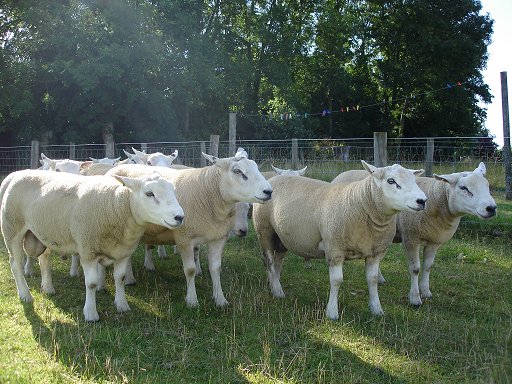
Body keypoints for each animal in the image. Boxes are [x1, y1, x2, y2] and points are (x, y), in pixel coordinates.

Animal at [0, 170, 184, 322]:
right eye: (149, 193)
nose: (180, 217)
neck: (118, 206)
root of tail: (13, 175)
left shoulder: (123, 252)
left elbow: (120, 278)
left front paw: (122, 305)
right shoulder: (88, 250)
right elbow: (92, 284)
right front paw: (90, 313)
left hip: (45, 233)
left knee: (44, 259)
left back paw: (48, 288)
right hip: (12, 229)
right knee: (15, 264)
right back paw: (25, 295)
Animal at [106, 152, 274, 308]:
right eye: (237, 171)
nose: (269, 191)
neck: (208, 194)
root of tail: (116, 169)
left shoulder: (218, 237)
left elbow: (215, 268)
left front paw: (220, 299)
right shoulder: (184, 238)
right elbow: (190, 270)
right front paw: (192, 301)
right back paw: (128, 279)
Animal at [250, 159, 426, 318]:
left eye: (414, 180)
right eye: (391, 181)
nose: (422, 201)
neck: (361, 204)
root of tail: (274, 179)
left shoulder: (375, 252)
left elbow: (373, 279)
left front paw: (376, 309)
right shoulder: (335, 249)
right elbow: (336, 281)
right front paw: (332, 312)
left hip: (281, 237)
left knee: (278, 260)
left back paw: (275, 286)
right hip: (264, 230)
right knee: (269, 260)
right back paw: (277, 290)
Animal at [332, 162, 496, 306]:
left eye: (487, 185)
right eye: (463, 187)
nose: (491, 208)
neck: (436, 201)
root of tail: (342, 174)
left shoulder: (435, 241)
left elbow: (428, 266)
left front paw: (426, 291)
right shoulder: (411, 238)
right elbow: (415, 268)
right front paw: (415, 298)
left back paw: (380, 278)